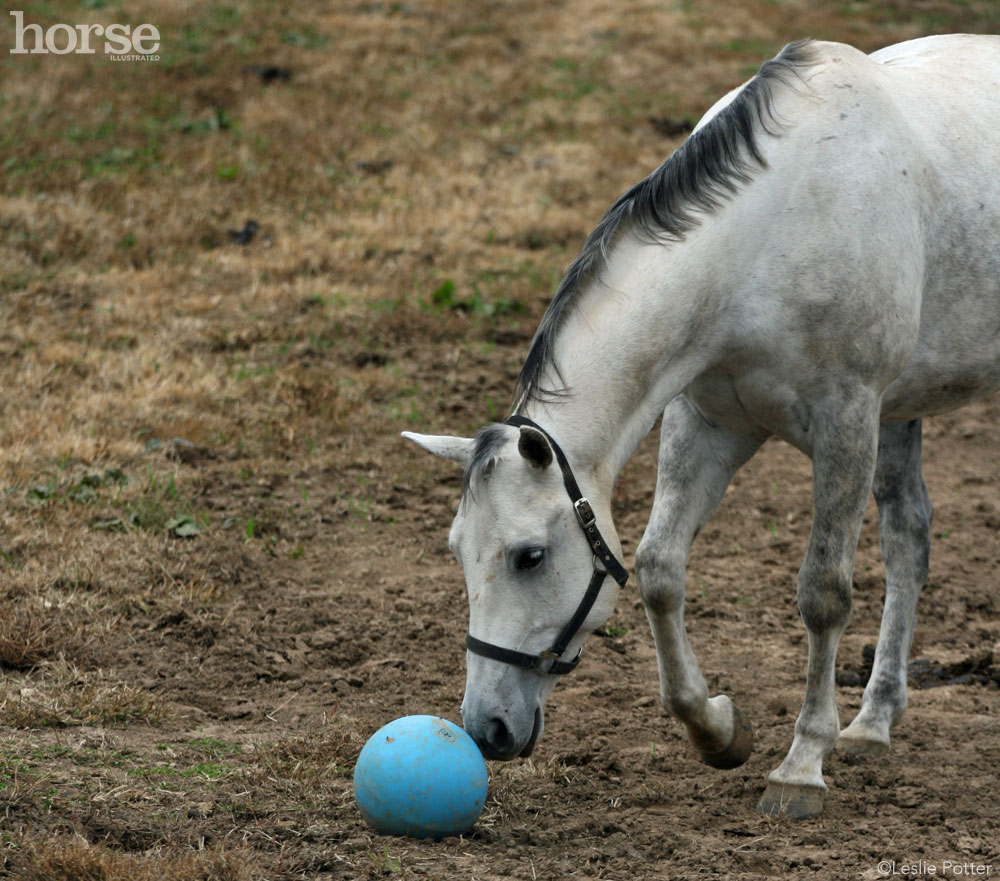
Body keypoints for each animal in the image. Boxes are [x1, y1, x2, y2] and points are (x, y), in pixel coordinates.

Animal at [404, 36, 1000, 820]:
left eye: (530, 557)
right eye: (455, 550)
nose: (486, 728)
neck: (769, 235)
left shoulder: (847, 422)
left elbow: (823, 592)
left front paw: (801, 765)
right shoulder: (709, 421)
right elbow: (659, 569)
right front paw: (718, 729)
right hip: (900, 410)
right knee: (909, 538)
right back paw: (873, 721)